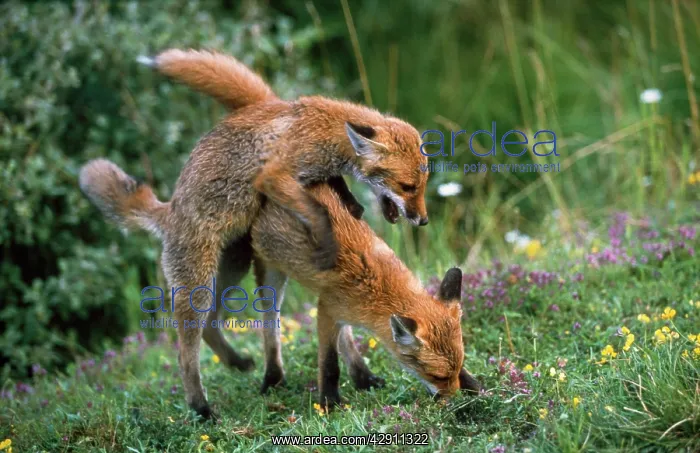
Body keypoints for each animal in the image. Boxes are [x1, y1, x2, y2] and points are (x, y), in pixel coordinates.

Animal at [79, 158, 481, 419]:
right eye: (436, 377)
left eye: (454, 371)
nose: (455, 405)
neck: (375, 284)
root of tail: (174, 209)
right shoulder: (328, 308)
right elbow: (329, 364)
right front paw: (330, 403)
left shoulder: (334, 308)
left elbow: (345, 344)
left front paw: (473, 385)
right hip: (244, 279)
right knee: (201, 347)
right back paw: (207, 406)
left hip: (236, 272)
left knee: (215, 325)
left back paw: (246, 365)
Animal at [137, 48, 429, 272]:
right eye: (408, 187)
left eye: (422, 187)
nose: (424, 221)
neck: (327, 131)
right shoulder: (272, 175)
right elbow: (319, 211)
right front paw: (328, 244)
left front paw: (349, 202)